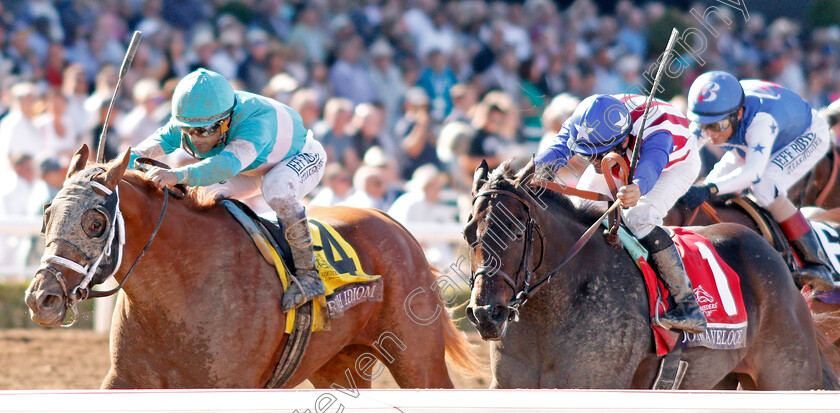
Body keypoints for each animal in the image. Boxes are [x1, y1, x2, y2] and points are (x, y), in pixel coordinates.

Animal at [462, 159, 836, 390]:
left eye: (515, 232)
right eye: (468, 234)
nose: (486, 314)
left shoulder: (596, 383)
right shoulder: (510, 384)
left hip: (790, 375)